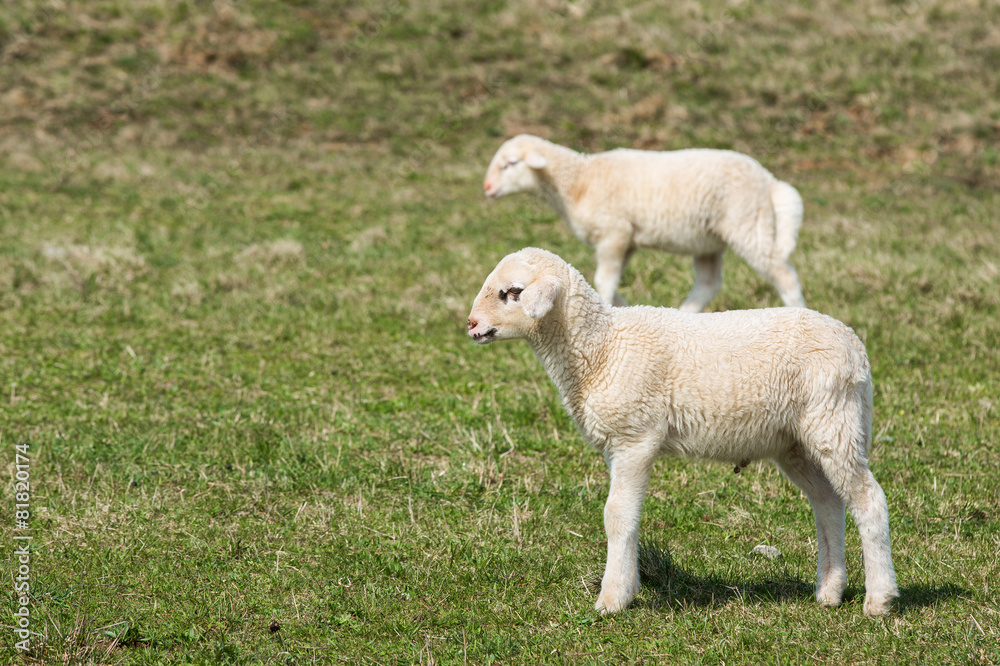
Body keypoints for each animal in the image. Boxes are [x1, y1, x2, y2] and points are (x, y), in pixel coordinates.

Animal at [466, 246, 900, 616]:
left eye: (513, 292)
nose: (471, 325)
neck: (602, 348)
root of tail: (855, 346)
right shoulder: (616, 444)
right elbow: (628, 515)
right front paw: (629, 587)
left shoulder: (636, 437)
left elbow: (617, 514)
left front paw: (611, 600)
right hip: (795, 442)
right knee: (828, 503)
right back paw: (829, 591)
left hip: (834, 421)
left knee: (868, 500)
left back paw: (878, 599)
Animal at [482, 136, 804, 312]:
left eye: (511, 164)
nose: (487, 188)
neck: (578, 181)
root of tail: (768, 180)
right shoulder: (626, 242)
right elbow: (606, 281)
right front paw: (620, 307)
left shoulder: (614, 234)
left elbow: (604, 280)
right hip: (709, 240)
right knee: (709, 283)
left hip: (747, 223)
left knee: (783, 273)